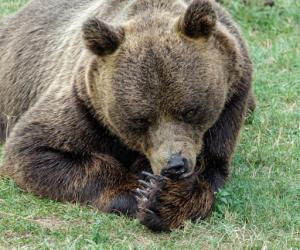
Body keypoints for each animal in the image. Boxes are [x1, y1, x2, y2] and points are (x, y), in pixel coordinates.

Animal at [0, 0, 254, 232]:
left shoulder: (231, 102)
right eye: (140, 119)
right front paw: (141, 191)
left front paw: (164, 199)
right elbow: (34, 150)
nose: (174, 165)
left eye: (190, 110)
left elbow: (211, 166)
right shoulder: (84, 105)